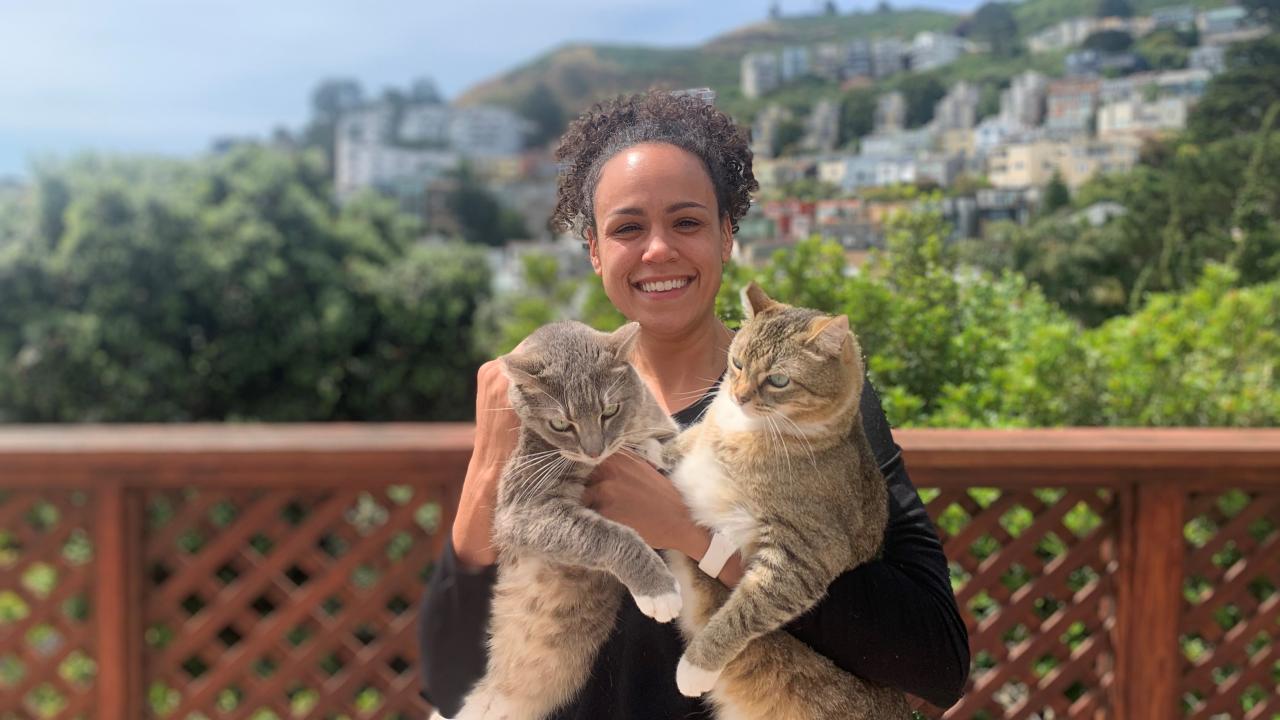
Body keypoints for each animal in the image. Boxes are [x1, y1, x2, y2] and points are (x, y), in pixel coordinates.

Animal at [453, 319, 686, 717]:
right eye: (561, 424)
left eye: (610, 410)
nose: (594, 451)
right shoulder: (523, 508)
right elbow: (611, 535)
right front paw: (659, 589)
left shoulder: (661, 423)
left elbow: (669, 445)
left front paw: (650, 451)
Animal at [670, 281, 911, 717]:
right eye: (736, 363)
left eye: (779, 380)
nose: (739, 395)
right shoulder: (689, 447)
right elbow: (664, 447)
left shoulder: (803, 557)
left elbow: (742, 613)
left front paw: (696, 666)